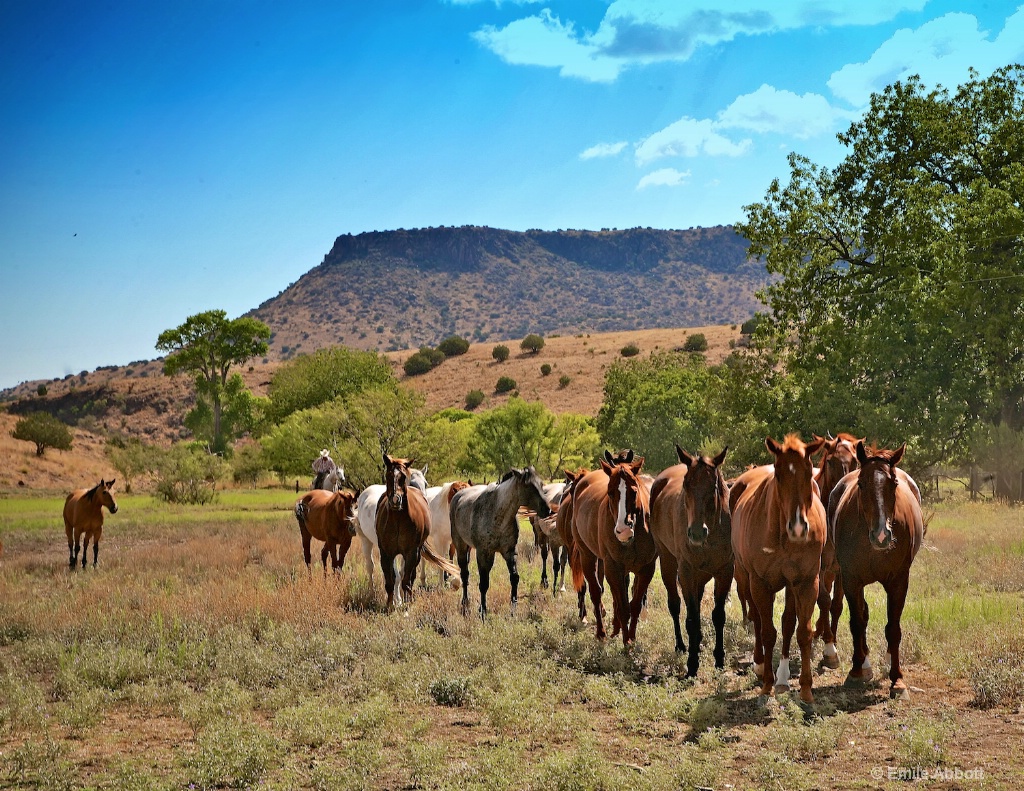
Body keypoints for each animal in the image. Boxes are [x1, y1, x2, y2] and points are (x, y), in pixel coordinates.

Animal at [374, 454, 458, 610]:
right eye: (388, 475)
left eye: (403, 477)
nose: (396, 500)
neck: (398, 518)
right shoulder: (386, 553)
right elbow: (390, 580)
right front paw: (390, 605)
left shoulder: (412, 552)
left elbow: (407, 579)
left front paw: (407, 602)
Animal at [569, 448, 655, 647]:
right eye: (610, 492)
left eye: (634, 491)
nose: (623, 530)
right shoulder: (614, 568)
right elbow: (622, 606)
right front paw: (625, 642)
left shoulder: (646, 569)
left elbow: (634, 605)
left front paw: (631, 637)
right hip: (587, 556)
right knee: (595, 592)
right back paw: (601, 633)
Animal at [651, 444, 733, 672]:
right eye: (686, 486)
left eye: (713, 487)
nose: (696, 533)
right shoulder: (686, 571)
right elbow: (692, 618)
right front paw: (692, 663)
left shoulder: (725, 571)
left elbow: (718, 615)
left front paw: (719, 658)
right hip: (668, 562)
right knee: (675, 605)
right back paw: (681, 645)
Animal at [733, 436, 827, 700]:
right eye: (778, 473)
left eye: (810, 471)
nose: (798, 527)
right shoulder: (760, 584)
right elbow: (766, 631)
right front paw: (766, 683)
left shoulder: (806, 582)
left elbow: (801, 631)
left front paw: (806, 688)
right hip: (744, 577)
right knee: (755, 618)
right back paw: (760, 664)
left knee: (787, 622)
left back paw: (783, 678)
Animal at [827, 442, 925, 700]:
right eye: (861, 484)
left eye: (894, 483)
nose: (882, 536)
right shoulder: (851, 580)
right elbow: (857, 622)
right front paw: (855, 671)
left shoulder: (899, 581)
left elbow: (893, 628)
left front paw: (897, 680)